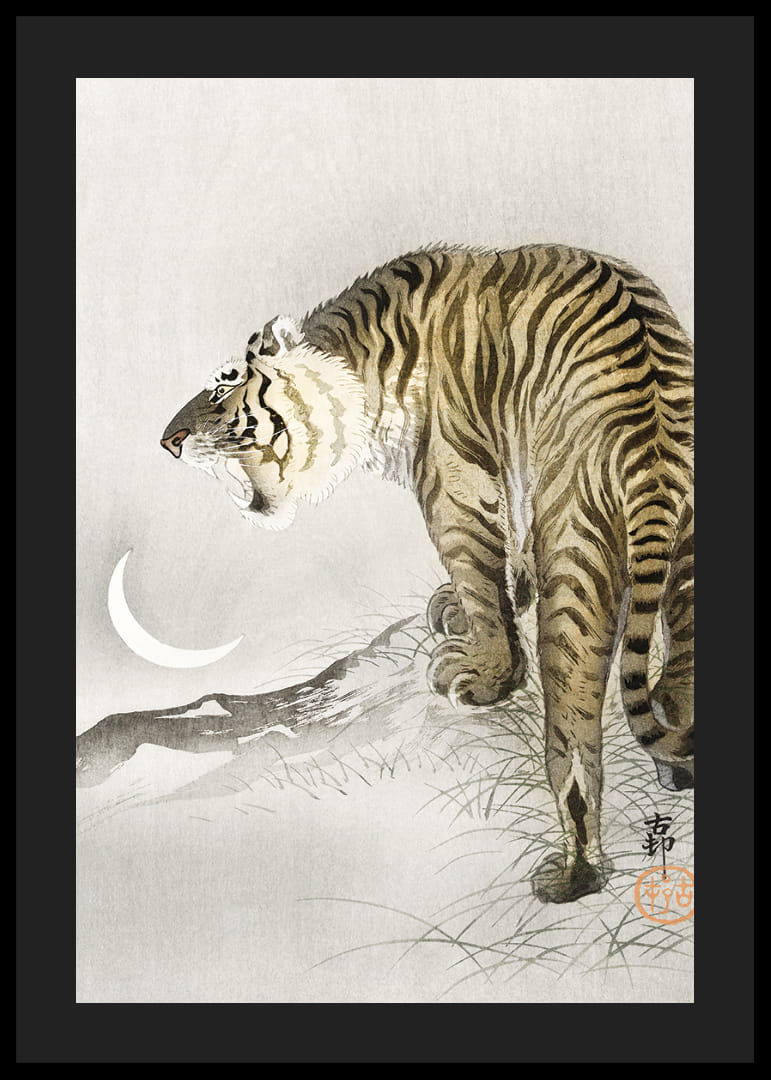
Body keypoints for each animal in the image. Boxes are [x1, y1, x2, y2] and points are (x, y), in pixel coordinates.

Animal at [161, 244, 694, 904]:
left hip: (577, 549)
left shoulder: (452, 481)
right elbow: (507, 559)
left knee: (573, 737)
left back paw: (573, 874)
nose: (168, 440)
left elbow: (478, 573)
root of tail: (655, 442)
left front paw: (483, 673)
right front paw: (468, 608)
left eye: (224, 385)